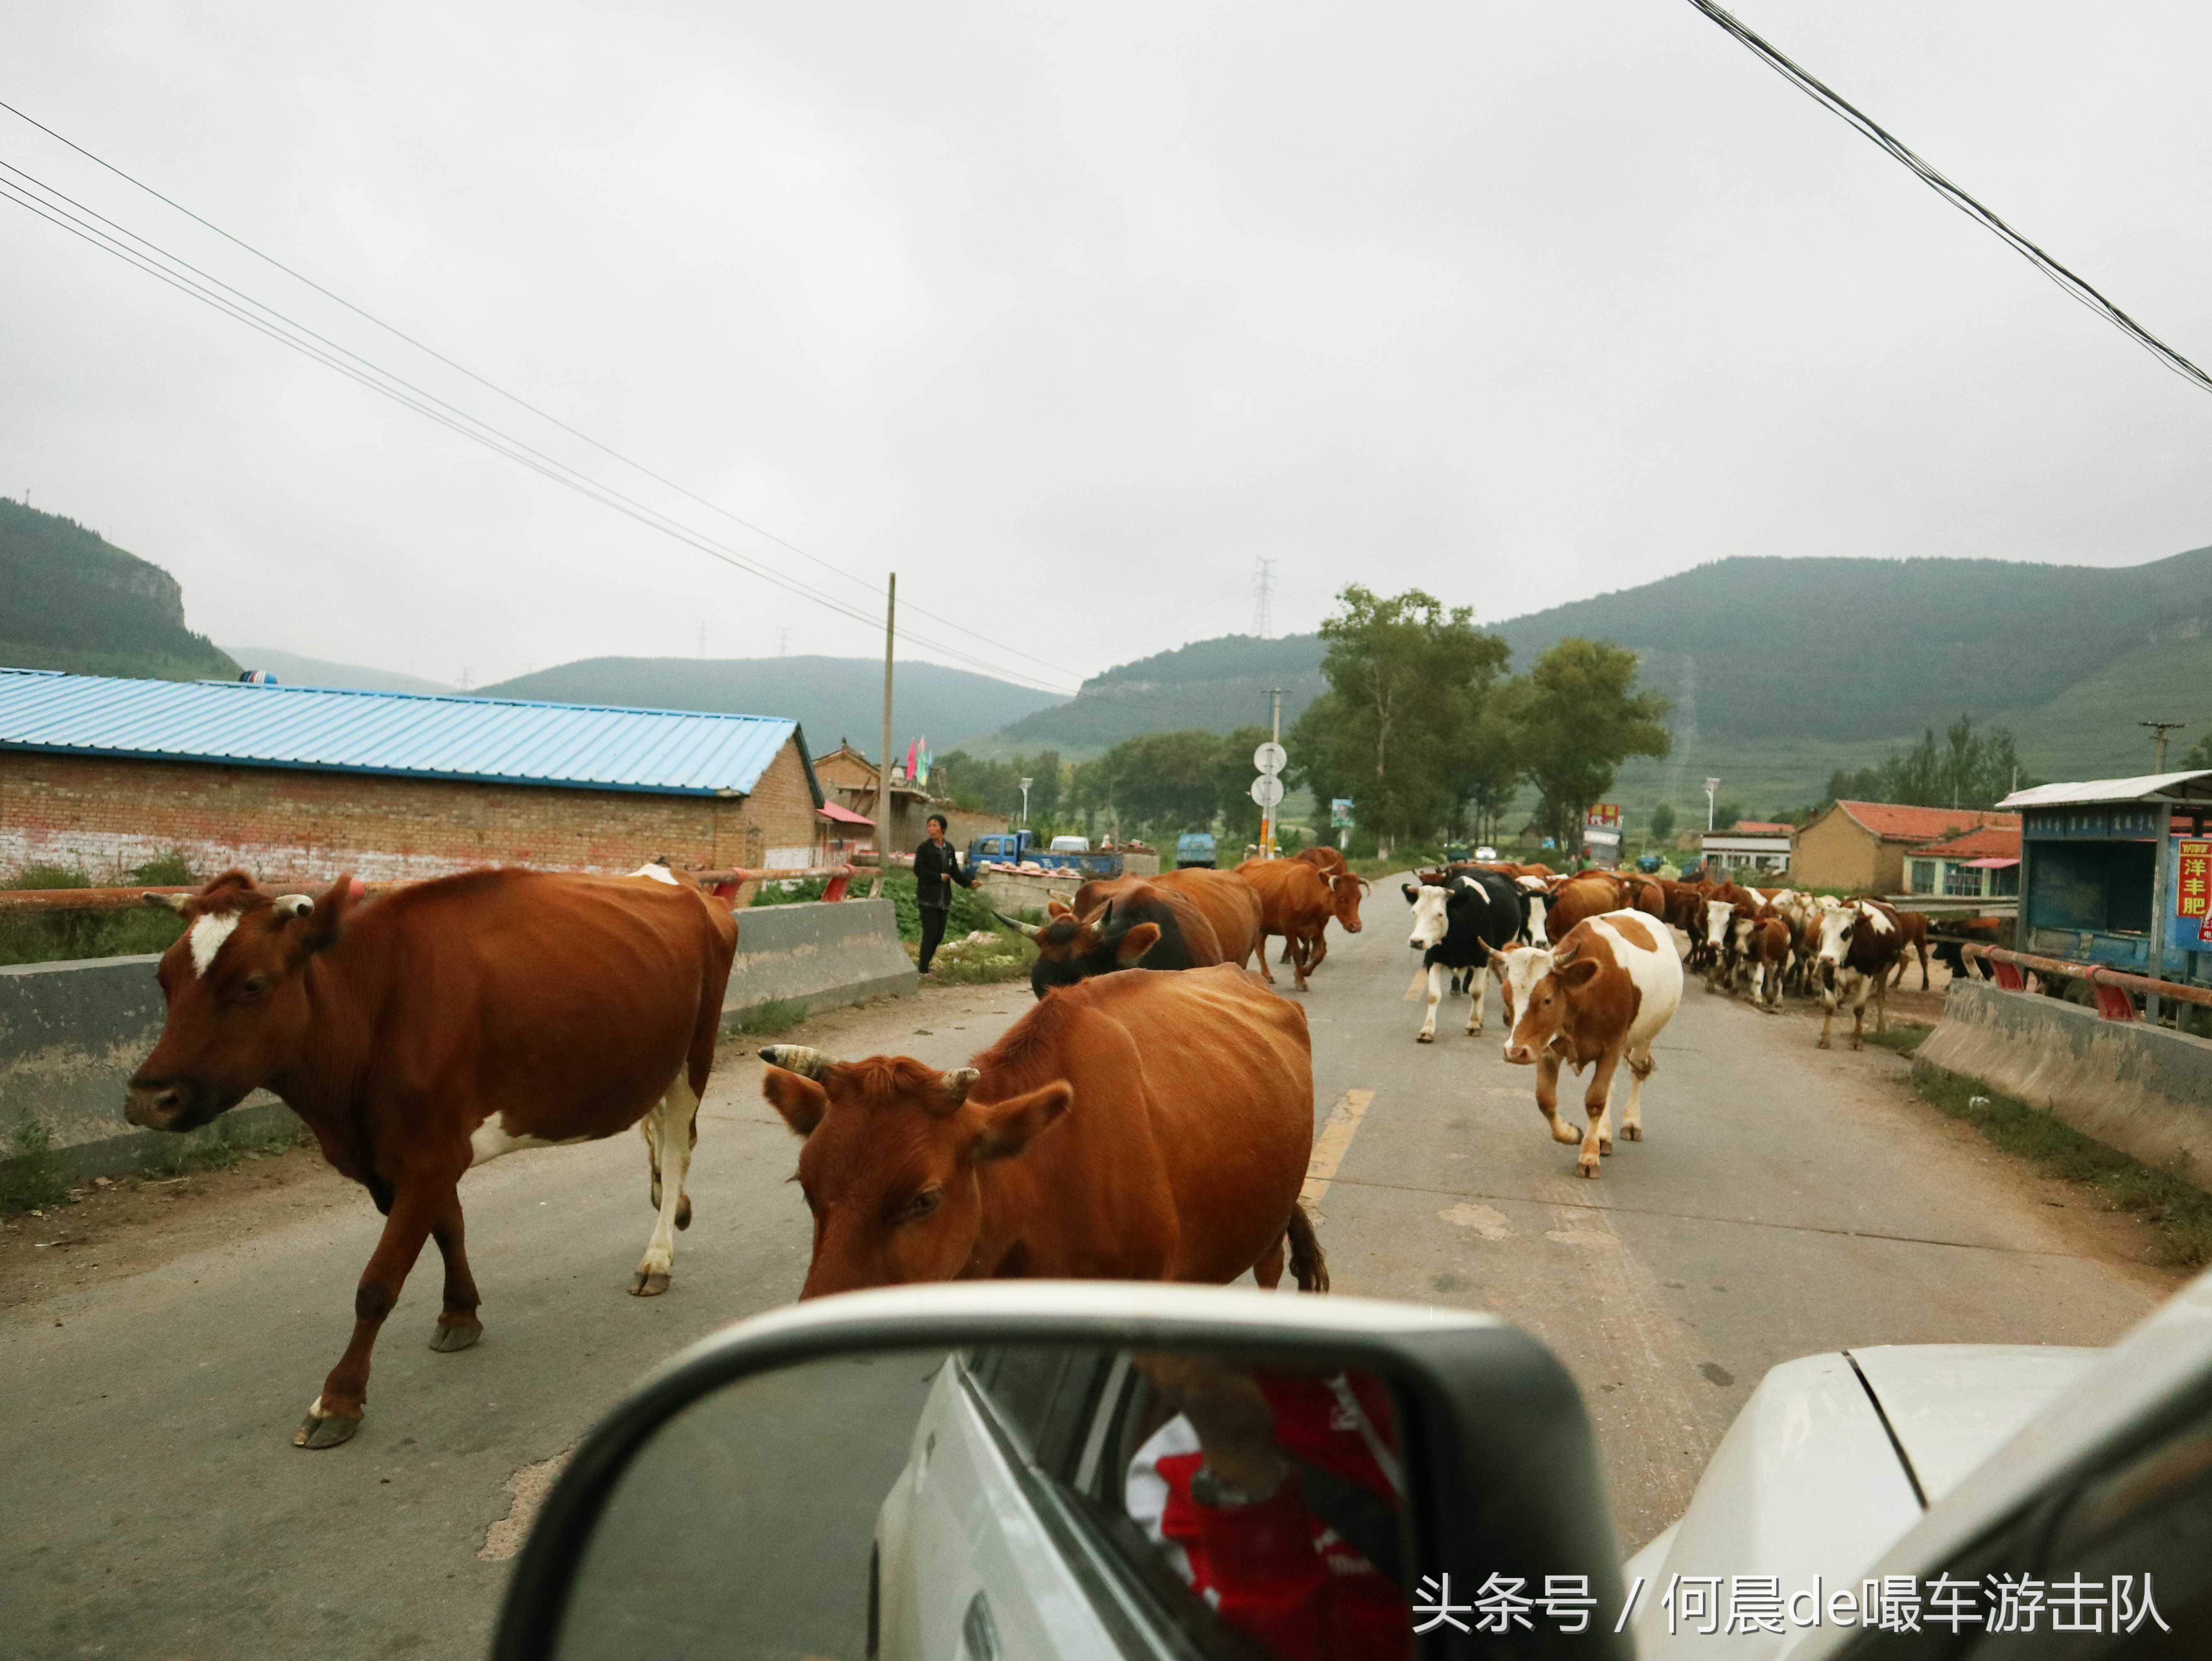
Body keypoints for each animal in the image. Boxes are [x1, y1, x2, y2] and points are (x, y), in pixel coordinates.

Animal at [125, 862, 739, 1451]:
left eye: (253, 984)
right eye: (163, 979)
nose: (150, 1099)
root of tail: (681, 881)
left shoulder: (431, 1155)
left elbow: (378, 1283)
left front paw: (338, 1401)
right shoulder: (397, 1157)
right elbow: (449, 1229)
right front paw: (461, 1313)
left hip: (695, 1056)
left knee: (679, 1149)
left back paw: (657, 1258)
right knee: (657, 1136)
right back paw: (673, 1205)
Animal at [1407, 871, 1530, 1039]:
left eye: (1440, 914)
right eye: (1415, 912)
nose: (1417, 942)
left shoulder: (1481, 959)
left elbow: (1476, 992)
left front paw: (1473, 1025)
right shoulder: (1434, 960)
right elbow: (1433, 995)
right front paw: (1427, 1030)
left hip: (1502, 953)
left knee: (1504, 979)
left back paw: (1505, 1017)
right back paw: (1481, 1018)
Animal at [1478, 916, 1681, 1176]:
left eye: (1547, 1000)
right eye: (1507, 998)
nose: (1515, 1052)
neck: (1585, 995)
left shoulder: (1613, 1046)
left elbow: (1595, 1101)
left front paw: (1589, 1158)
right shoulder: (1548, 1048)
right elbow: (1545, 1100)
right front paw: (1572, 1134)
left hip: (1645, 1036)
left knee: (1637, 1071)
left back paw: (1631, 1123)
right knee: (1611, 1087)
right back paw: (1603, 1137)